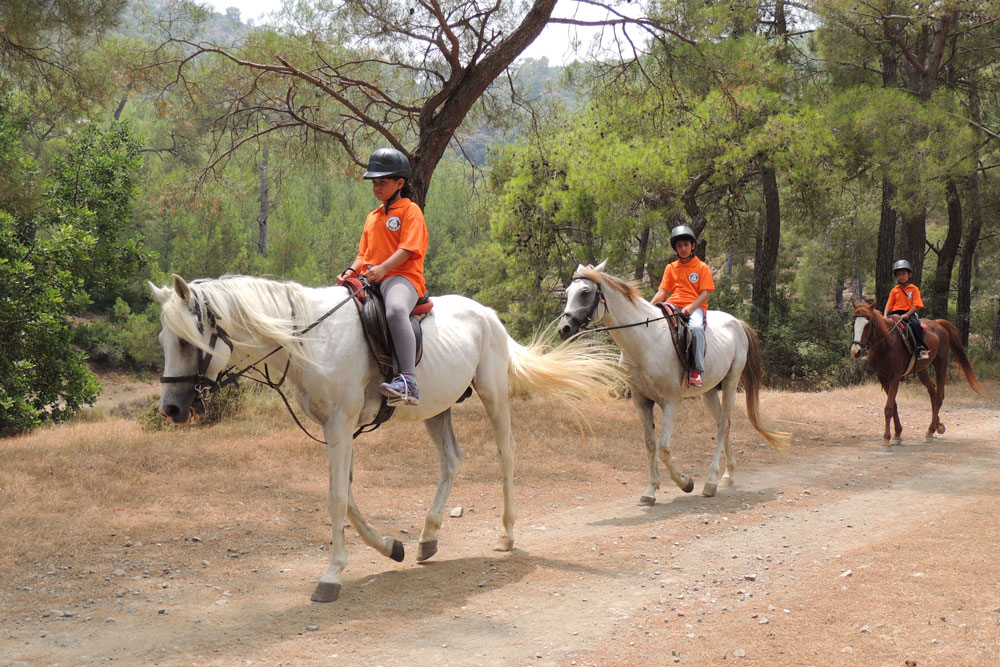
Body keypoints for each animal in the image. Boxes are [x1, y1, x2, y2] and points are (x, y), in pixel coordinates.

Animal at [150, 274, 616, 604]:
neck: (311, 340)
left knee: (506, 455)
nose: (171, 409)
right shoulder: (338, 429)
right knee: (451, 460)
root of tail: (487, 313)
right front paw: (392, 547)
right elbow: (348, 496)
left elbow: (337, 498)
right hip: (436, 409)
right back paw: (428, 537)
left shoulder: (340, 425)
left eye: (186, 341)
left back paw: (506, 534)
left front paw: (331, 576)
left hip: (493, 393)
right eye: (164, 340)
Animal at [556, 264, 788, 504]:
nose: (564, 328)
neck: (645, 341)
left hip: (731, 383)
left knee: (723, 426)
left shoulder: (670, 402)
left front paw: (686, 483)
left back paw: (710, 482)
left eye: (585, 292)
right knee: (724, 424)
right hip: (709, 392)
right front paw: (650, 491)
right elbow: (650, 445)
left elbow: (664, 448)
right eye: (567, 293)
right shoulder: (641, 401)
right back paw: (728, 475)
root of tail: (737, 323)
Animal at [848, 300, 980, 446]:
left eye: (868, 324)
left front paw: (887, 438)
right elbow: (893, 404)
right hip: (922, 370)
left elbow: (888, 407)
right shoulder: (882, 377)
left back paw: (930, 431)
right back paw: (937, 426)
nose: (856, 351)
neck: (886, 344)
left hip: (941, 364)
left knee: (939, 396)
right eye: (853, 323)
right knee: (932, 392)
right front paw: (897, 434)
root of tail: (938, 323)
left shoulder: (895, 376)